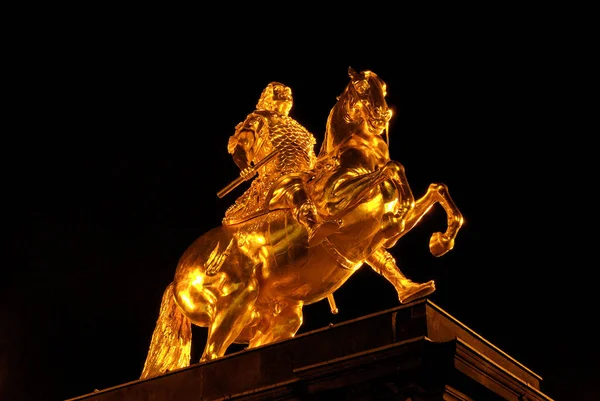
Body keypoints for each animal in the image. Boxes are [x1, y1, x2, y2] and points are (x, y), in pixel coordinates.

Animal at [139, 66, 464, 378]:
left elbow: (433, 193)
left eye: (382, 88)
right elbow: (394, 169)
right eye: (362, 87)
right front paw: (401, 220)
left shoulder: (371, 238)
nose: (382, 115)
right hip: (235, 302)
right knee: (210, 356)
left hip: (278, 316)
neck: (352, 157)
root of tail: (178, 277)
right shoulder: (335, 201)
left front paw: (435, 250)